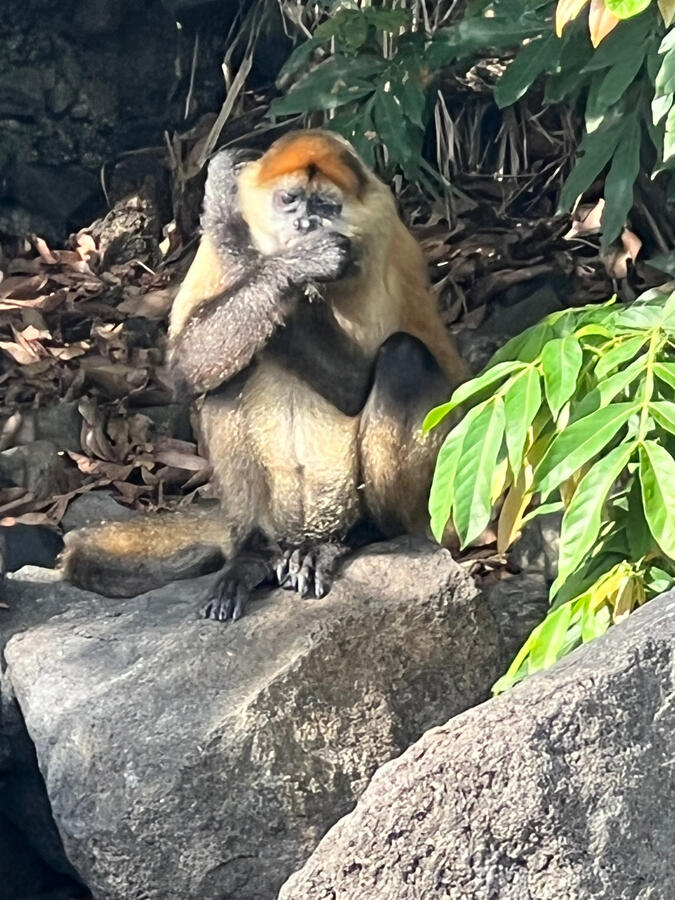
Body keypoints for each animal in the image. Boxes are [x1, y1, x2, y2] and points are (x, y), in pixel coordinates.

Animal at [60, 129, 468, 621]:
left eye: (325, 206)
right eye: (290, 200)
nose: (306, 226)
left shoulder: (380, 237)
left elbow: (355, 384)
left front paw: (229, 211)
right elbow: (187, 364)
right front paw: (242, 223)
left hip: (427, 507)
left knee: (403, 358)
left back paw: (355, 536)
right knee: (227, 372)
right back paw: (252, 552)